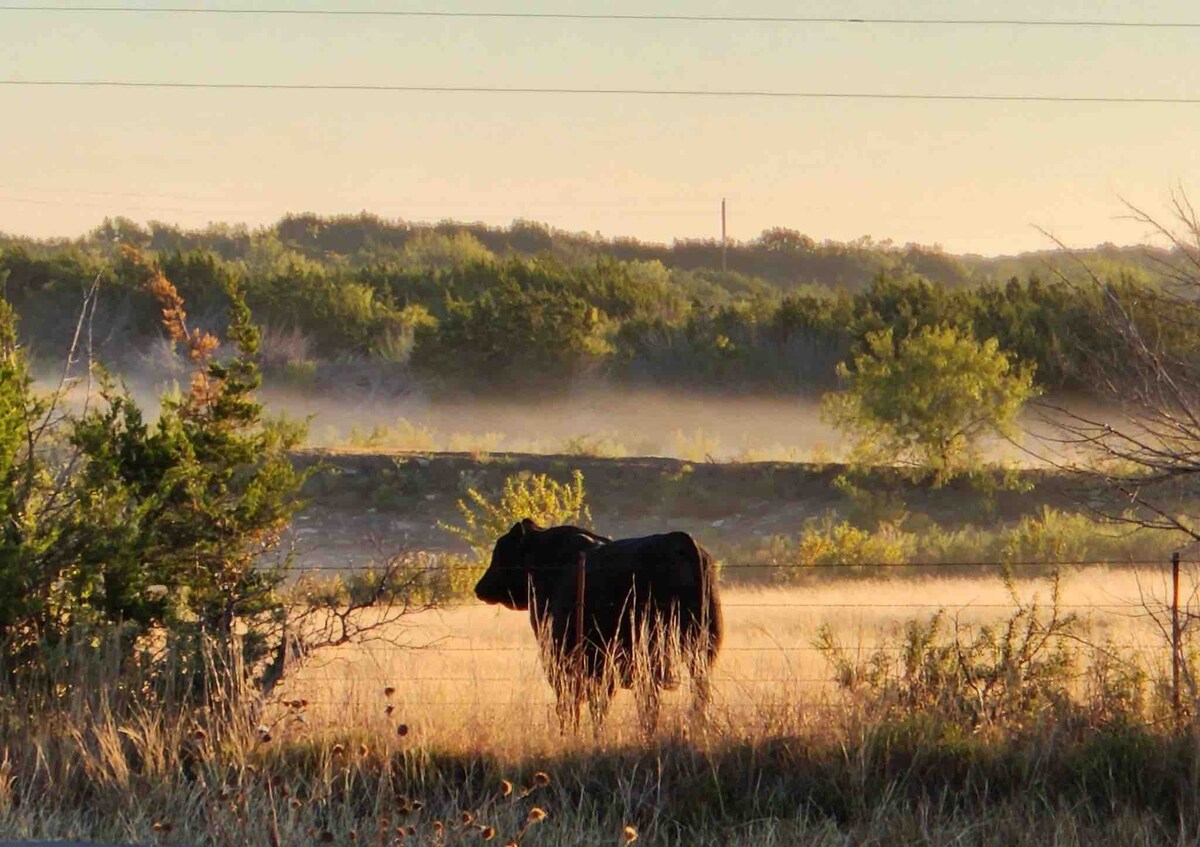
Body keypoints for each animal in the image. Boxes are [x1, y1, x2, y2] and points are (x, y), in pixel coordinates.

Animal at [475, 518, 720, 729]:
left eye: (501, 552)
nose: (479, 587)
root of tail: (679, 539)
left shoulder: (563, 662)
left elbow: (576, 706)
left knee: (649, 704)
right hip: (699, 652)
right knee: (696, 695)